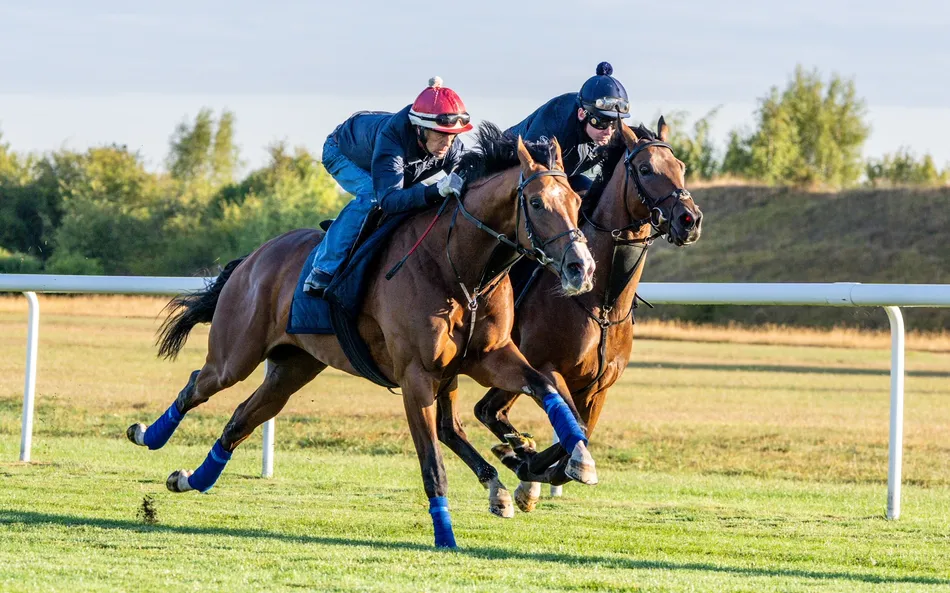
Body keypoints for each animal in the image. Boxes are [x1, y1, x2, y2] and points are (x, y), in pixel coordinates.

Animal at [126, 128, 599, 548]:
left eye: (577, 202)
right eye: (535, 202)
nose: (581, 267)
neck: (460, 268)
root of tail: (253, 258)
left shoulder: (489, 357)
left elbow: (545, 389)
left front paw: (575, 458)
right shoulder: (416, 376)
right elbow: (433, 465)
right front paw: (446, 536)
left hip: (293, 367)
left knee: (241, 419)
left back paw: (190, 478)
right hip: (236, 354)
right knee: (198, 384)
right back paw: (148, 435)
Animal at [469, 118, 703, 511]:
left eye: (681, 167)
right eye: (645, 169)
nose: (690, 220)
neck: (602, 303)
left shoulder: (598, 386)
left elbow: (579, 437)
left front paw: (530, 466)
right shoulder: (549, 368)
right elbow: (574, 430)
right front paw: (527, 464)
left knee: (489, 410)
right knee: (487, 409)